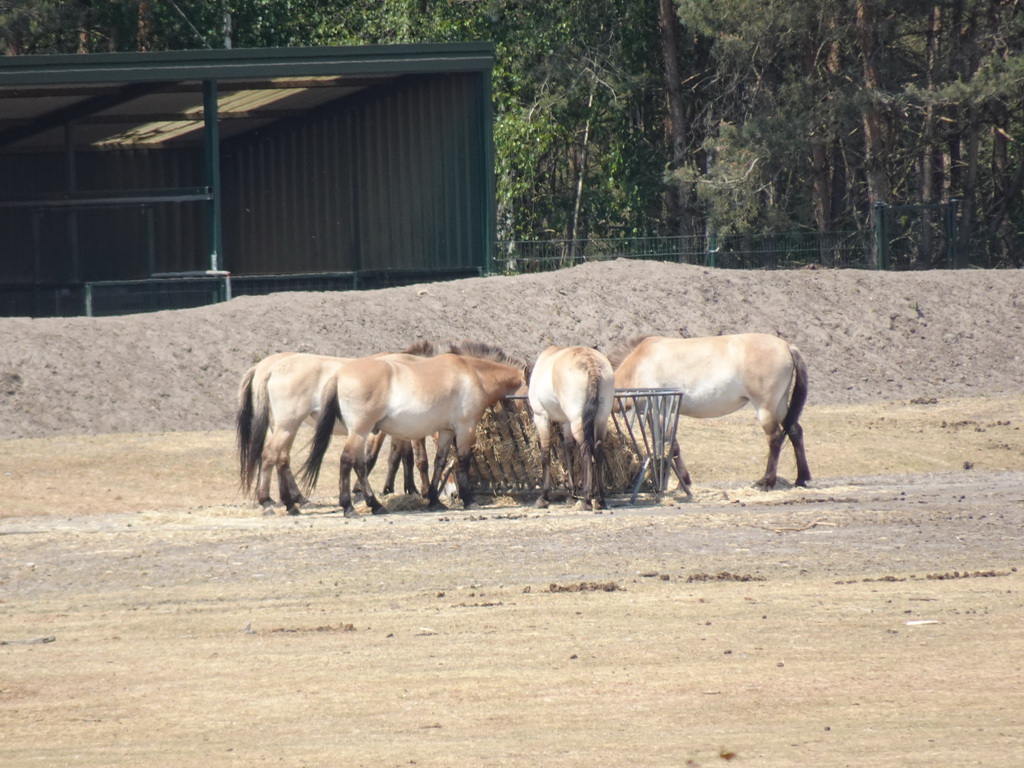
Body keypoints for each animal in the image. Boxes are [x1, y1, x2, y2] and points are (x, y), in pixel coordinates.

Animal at [301, 344, 528, 518]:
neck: (473, 373)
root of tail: (339, 375)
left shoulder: (446, 430)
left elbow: (440, 462)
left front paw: (434, 500)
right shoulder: (466, 427)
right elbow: (462, 461)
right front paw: (468, 499)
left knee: (359, 464)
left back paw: (374, 505)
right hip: (359, 431)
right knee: (349, 461)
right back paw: (351, 507)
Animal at [532, 348, 610, 512]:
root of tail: (591, 364)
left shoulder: (541, 416)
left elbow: (545, 454)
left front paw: (543, 497)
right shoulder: (566, 423)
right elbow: (569, 452)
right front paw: (570, 495)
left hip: (577, 421)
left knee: (586, 451)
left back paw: (586, 499)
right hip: (601, 419)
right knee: (598, 451)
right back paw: (600, 499)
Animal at [610, 335, 811, 493]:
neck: (639, 364)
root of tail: (787, 346)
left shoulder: (660, 409)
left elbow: (672, 445)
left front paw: (683, 482)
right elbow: (664, 444)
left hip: (765, 407)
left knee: (775, 438)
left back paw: (766, 482)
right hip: (780, 404)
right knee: (795, 431)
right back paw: (802, 479)